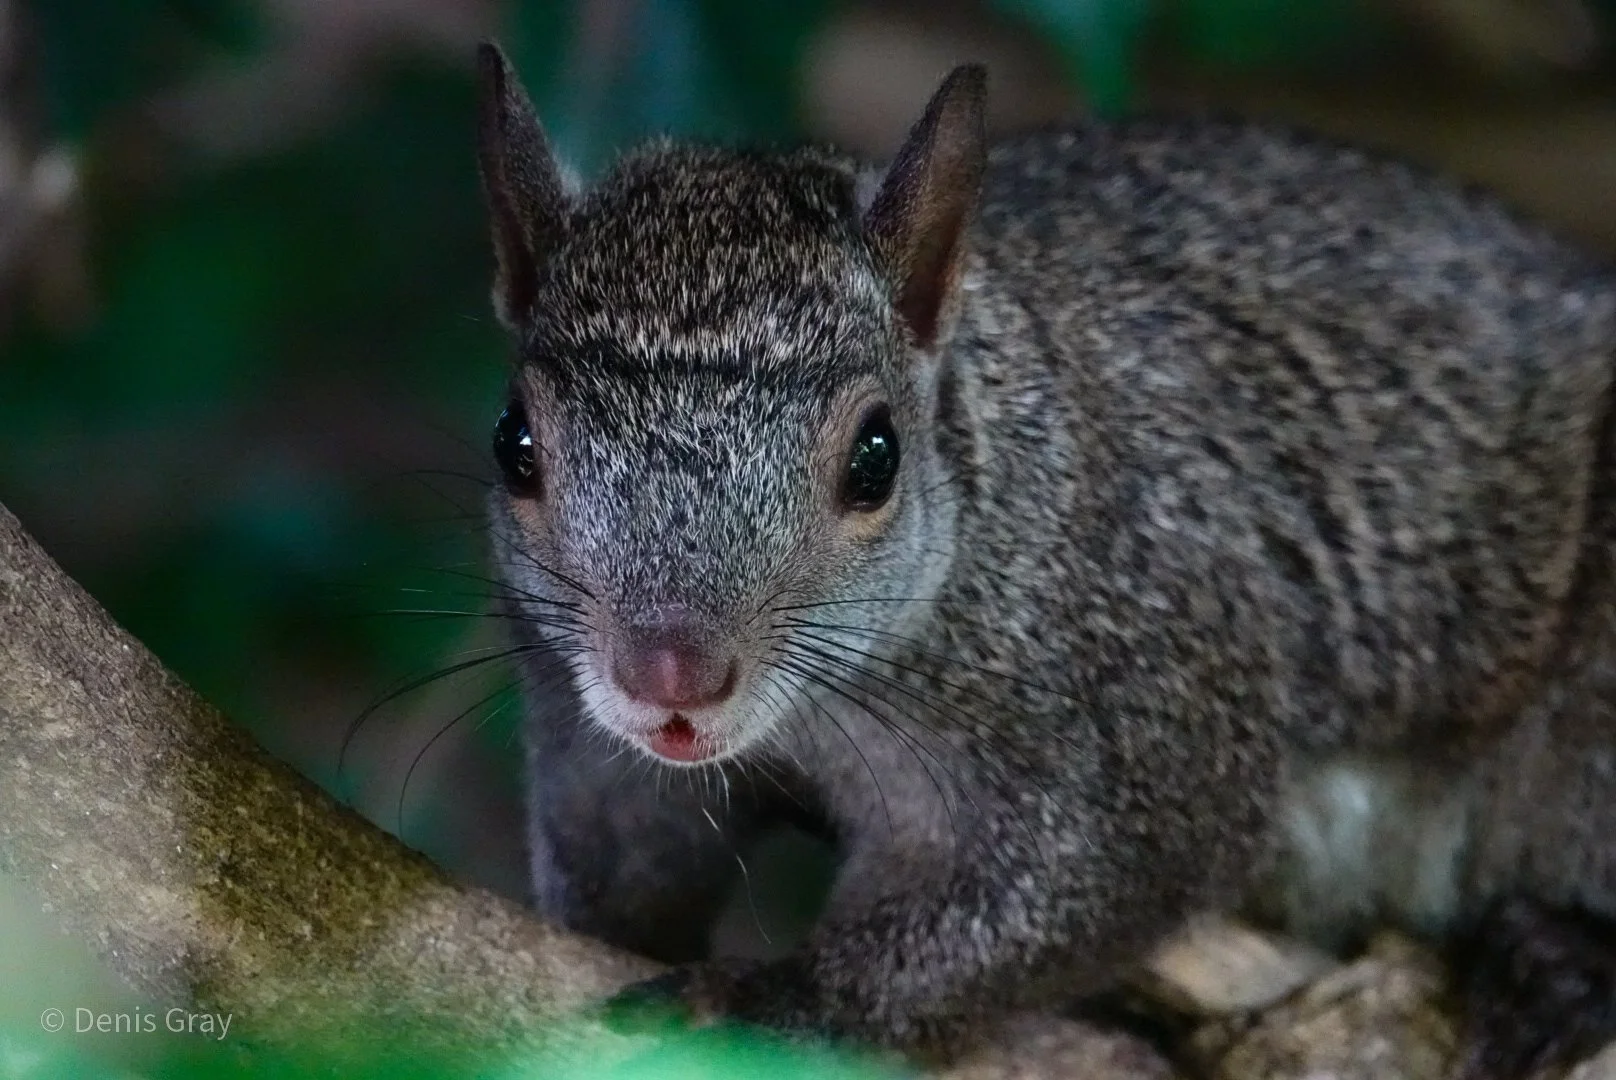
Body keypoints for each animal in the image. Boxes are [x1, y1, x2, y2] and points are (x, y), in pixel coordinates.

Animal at [473, 41, 1616, 1079]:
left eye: (875, 457)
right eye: (514, 443)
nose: (670, 675)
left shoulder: (1152, 678)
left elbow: (1097, 880)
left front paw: (772, 1003)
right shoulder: (590, 736)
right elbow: (620, 872)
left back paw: (1562, 968)